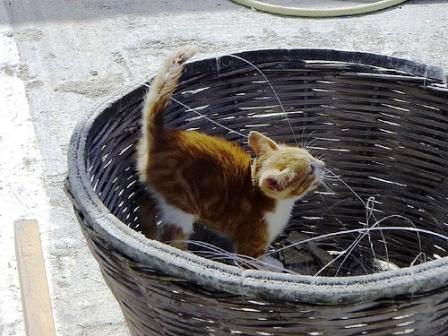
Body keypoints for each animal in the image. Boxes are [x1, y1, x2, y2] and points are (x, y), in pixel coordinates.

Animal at [137, 46, 326, 258]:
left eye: (310, 155)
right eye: (310, 170)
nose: (323, 165)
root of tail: (160, 136)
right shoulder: (249, 247)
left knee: (144, 208)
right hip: (181, 206)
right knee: (171, 239)